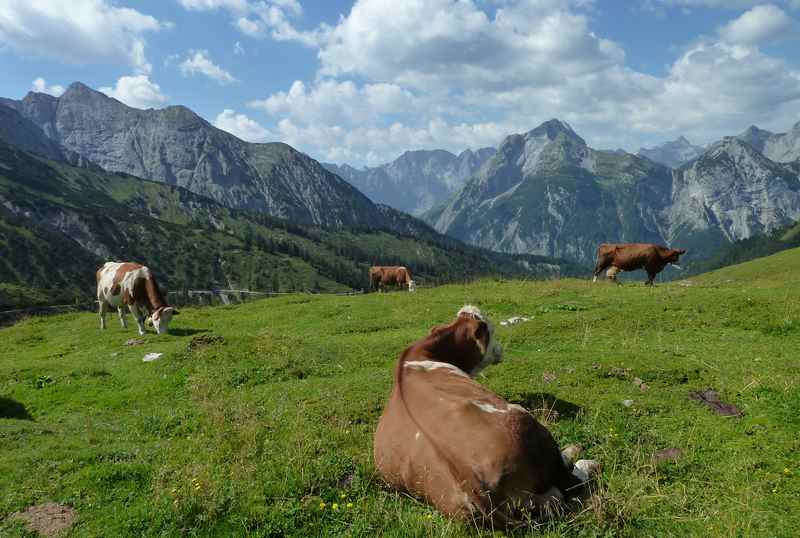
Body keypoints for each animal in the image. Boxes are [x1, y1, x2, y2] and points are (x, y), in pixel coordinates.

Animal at [376, 306, 600, 524]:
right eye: (492, 330)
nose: (501, 349)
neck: (424, 351)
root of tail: (471, 482)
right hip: (524, 420)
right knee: (569, 484)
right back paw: (582, 459)